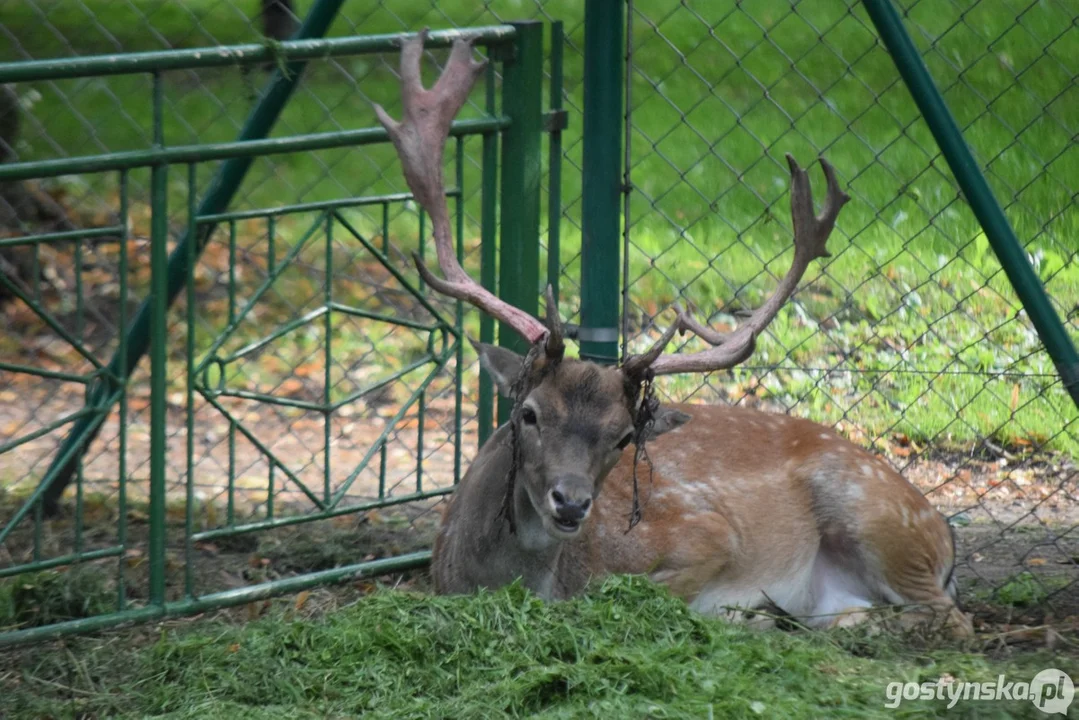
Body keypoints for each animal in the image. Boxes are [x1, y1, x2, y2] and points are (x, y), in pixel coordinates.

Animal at [375, 29, 975, 634]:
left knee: (950, 616)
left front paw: (741, 611)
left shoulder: (706, 531)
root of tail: (946, 535)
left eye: (623, 436)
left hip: (875, 514)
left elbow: (630, 594)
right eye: (528, 414)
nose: (571, 503)